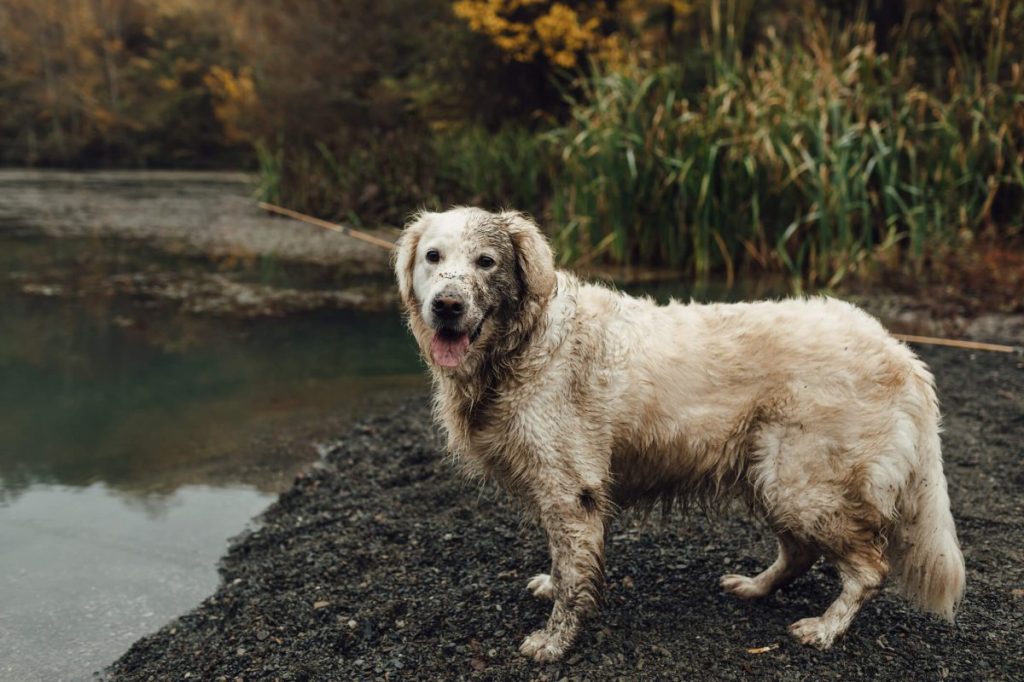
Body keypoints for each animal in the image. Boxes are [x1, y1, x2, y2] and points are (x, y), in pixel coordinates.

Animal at [391, 205, 966, 659]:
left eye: (486, 262)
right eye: (434, 257)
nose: (447, 306)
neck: (523, 343)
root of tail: (900, 351)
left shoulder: (571, 489)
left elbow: (575, 576)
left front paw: (554, 641)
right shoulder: (560, 493)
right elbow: (564, 562)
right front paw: (550, 586)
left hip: (802, 482)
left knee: (870, 568)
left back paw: (825, 628)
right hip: (770, 476)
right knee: (801, 552)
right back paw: (754, 587)